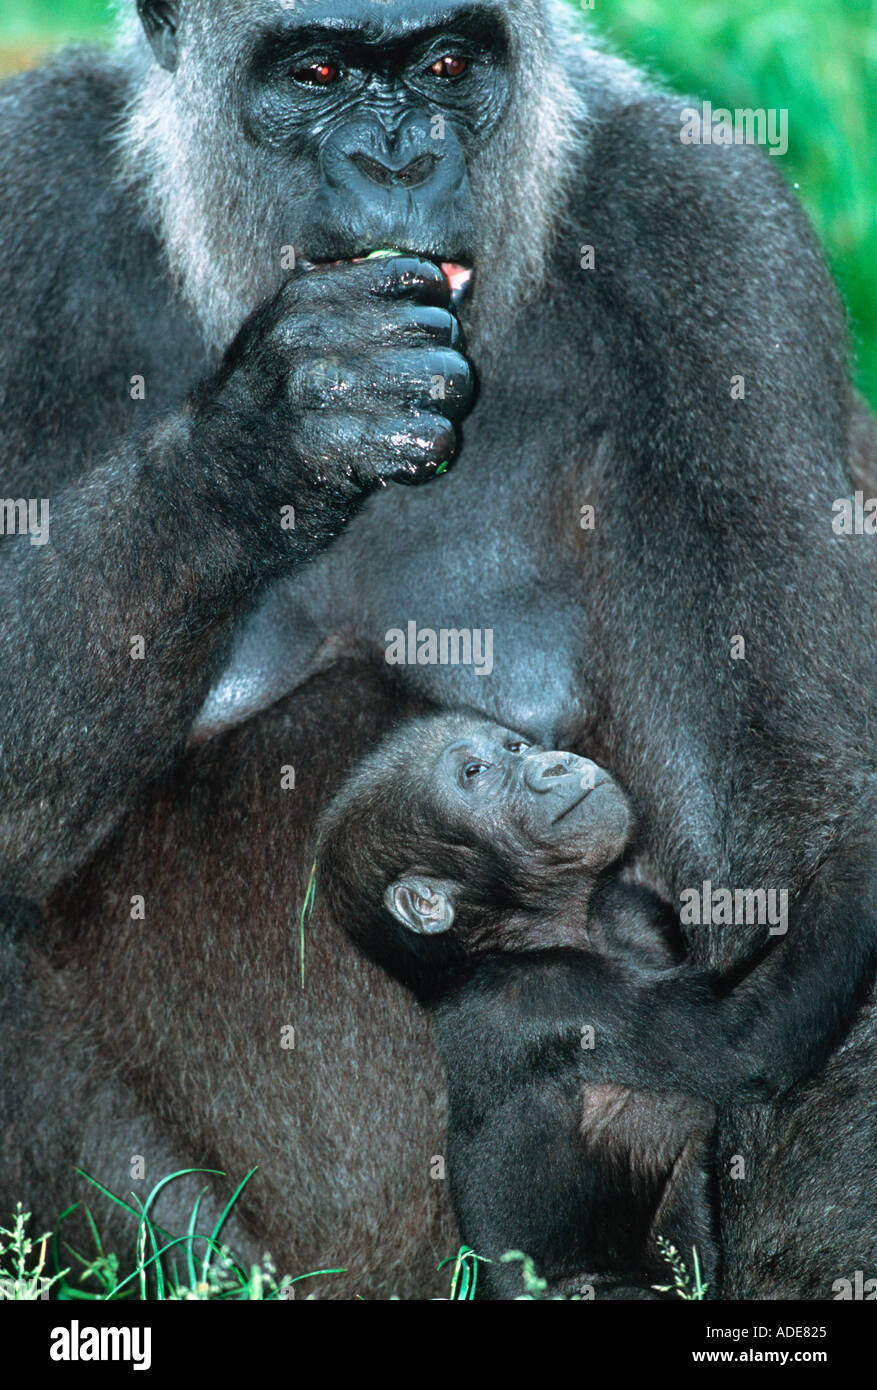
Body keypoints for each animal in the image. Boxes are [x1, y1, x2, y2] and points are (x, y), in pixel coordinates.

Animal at [0, 0, 875, 1296]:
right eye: (317, 71)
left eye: (447, 65)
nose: (401, 160)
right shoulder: (26, 198)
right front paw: (270, 428)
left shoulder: (717, 241)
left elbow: (789, 807)